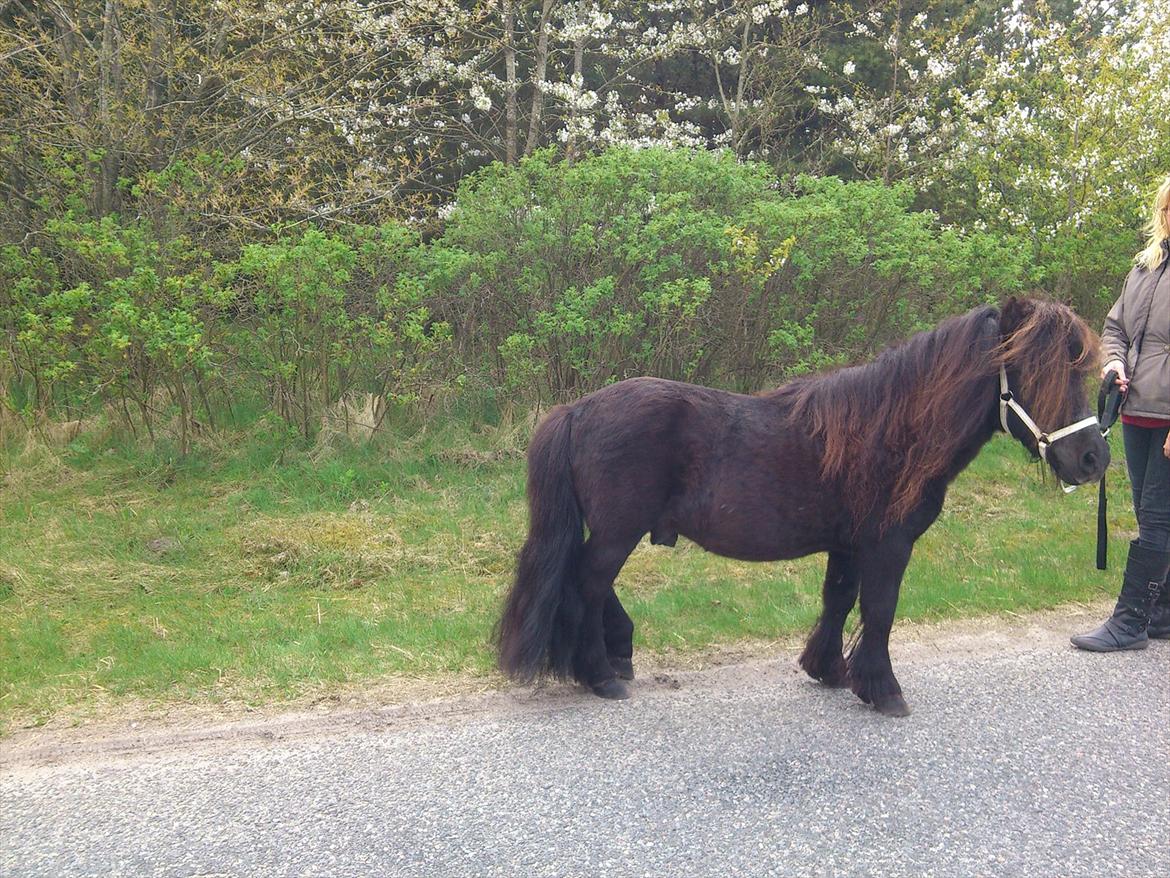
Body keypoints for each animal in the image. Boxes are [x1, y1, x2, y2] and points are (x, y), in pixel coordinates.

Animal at [493, 299, 1104, 716]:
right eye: (1038, 372)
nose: (1094, 458)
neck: (890, 431)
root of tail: (577, 410)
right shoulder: (888, 546)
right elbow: (880, 610)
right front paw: (883, 689)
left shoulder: (848, 544)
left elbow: (839, 600)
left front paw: (829, 670)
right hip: (618, 532)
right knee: (588, 584)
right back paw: (600, 673)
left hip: (614, 530)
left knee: (587, 581)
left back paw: (613, 652)